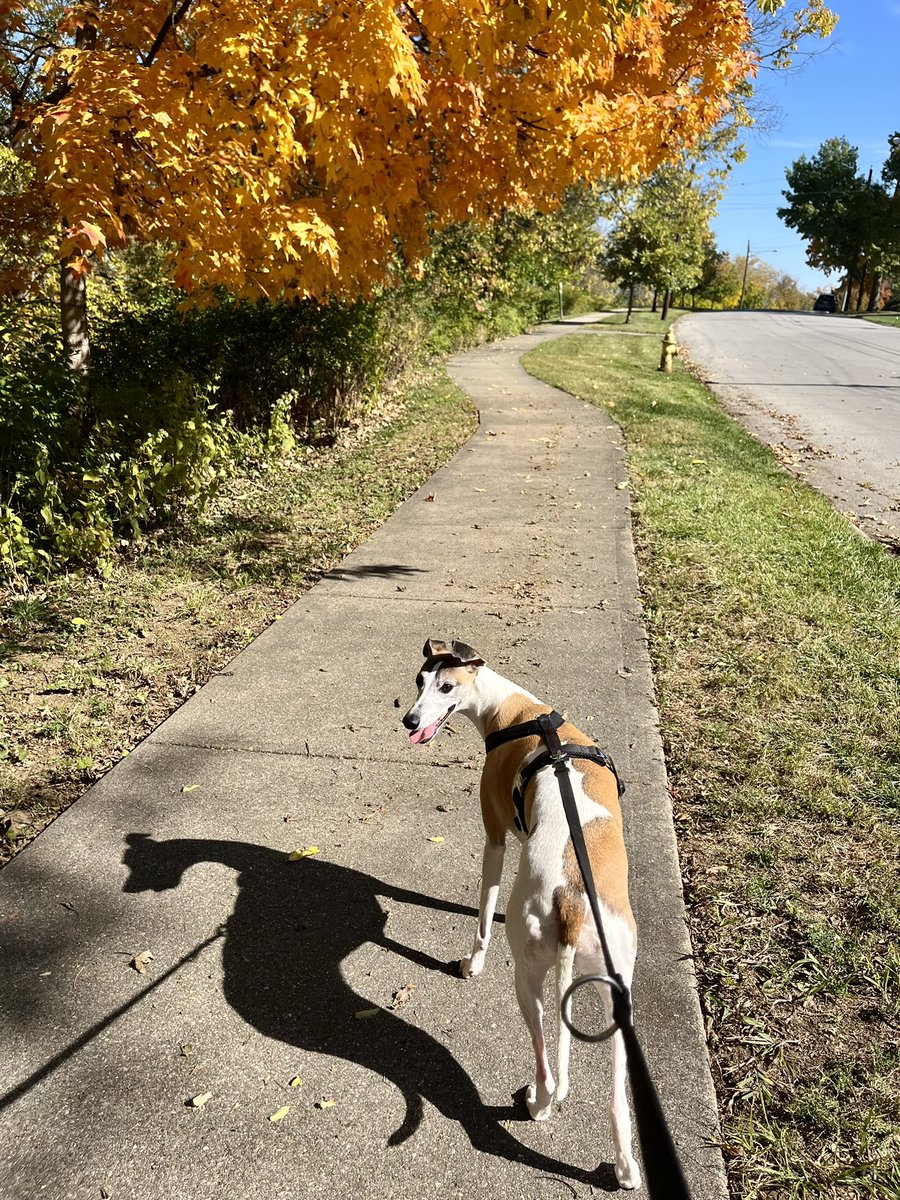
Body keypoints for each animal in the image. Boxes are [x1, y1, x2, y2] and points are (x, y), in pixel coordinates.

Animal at [400, 638, 643, 1190]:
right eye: (419, 681)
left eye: (446, 687)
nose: (408, 720)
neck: (518, 713)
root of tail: (572, 901)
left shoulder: (495, 836)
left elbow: (485, 911)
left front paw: (472, 962)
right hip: (618, 992)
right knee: (618, 1101)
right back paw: (624, 1167)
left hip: (528, 979)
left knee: (550, 1070)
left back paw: (536, 1104)